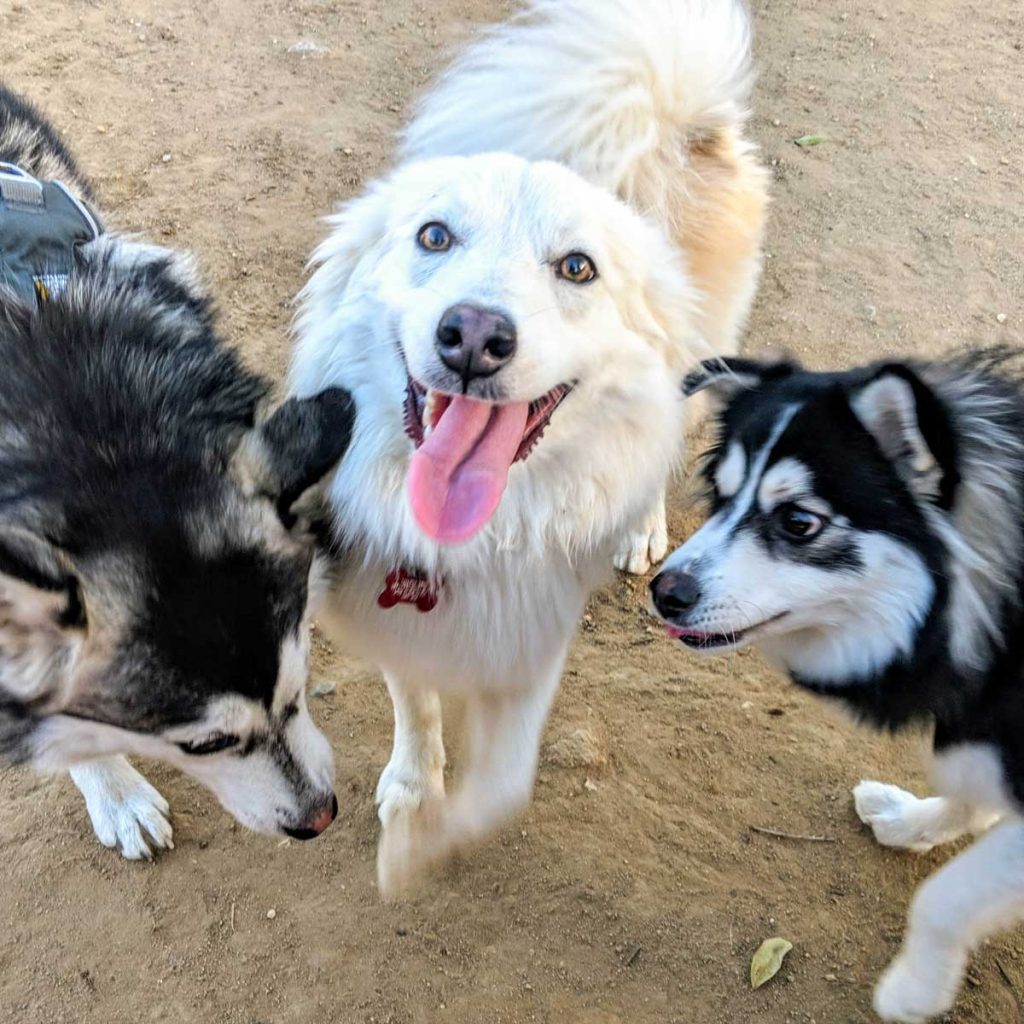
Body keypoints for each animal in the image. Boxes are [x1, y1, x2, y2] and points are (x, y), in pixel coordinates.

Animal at [288, 0, 770, 897]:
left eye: (577, 267)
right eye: (434, 236)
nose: (474, 336)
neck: (481, 533)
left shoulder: (538, 631)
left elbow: (499, 784)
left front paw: (419, 848)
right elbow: (417, 707)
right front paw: (412, 788)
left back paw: (642, 527)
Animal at [651, 354, 1019, 1024]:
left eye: (799, 522)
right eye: (722, 494)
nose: (664, 592)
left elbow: (948, 896)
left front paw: (913, 990)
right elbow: (970, 791)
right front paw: (911, 821)